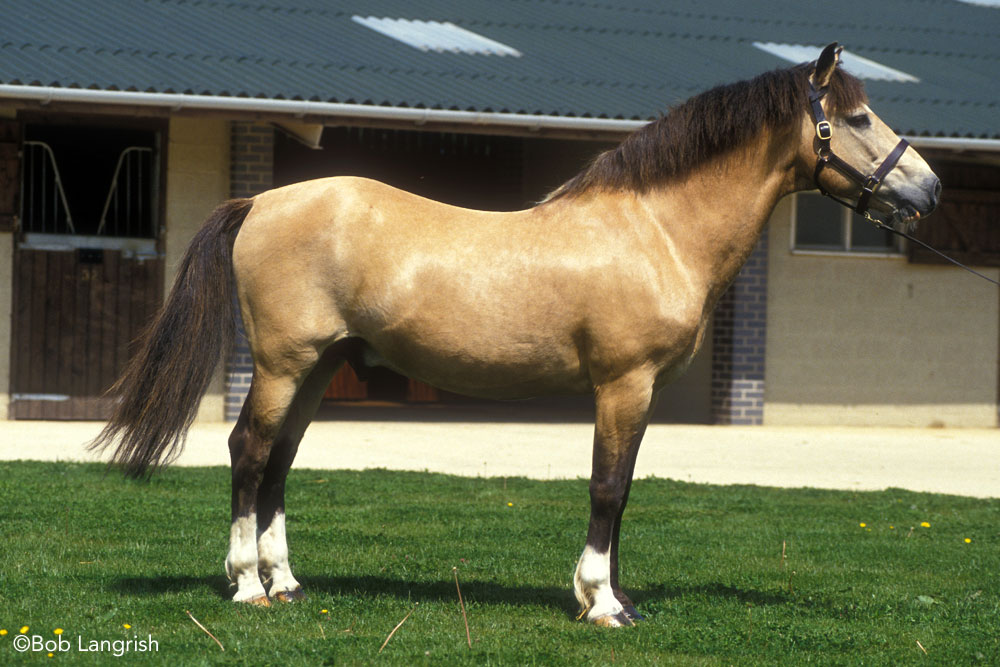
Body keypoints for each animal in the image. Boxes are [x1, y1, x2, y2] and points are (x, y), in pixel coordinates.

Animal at [92, 44, 936, 628]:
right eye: (857, 118)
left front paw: (614, 594)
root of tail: (263, 201)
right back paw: (246, 586)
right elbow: (607, 486)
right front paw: (601, 603)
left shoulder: (643, 393)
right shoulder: (622, 384)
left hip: (319, 366)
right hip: (281, 362)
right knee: (248, 451)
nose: (927, 188)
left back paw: (288, 582)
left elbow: (626, 491)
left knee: (279, 460)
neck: (654, 229)